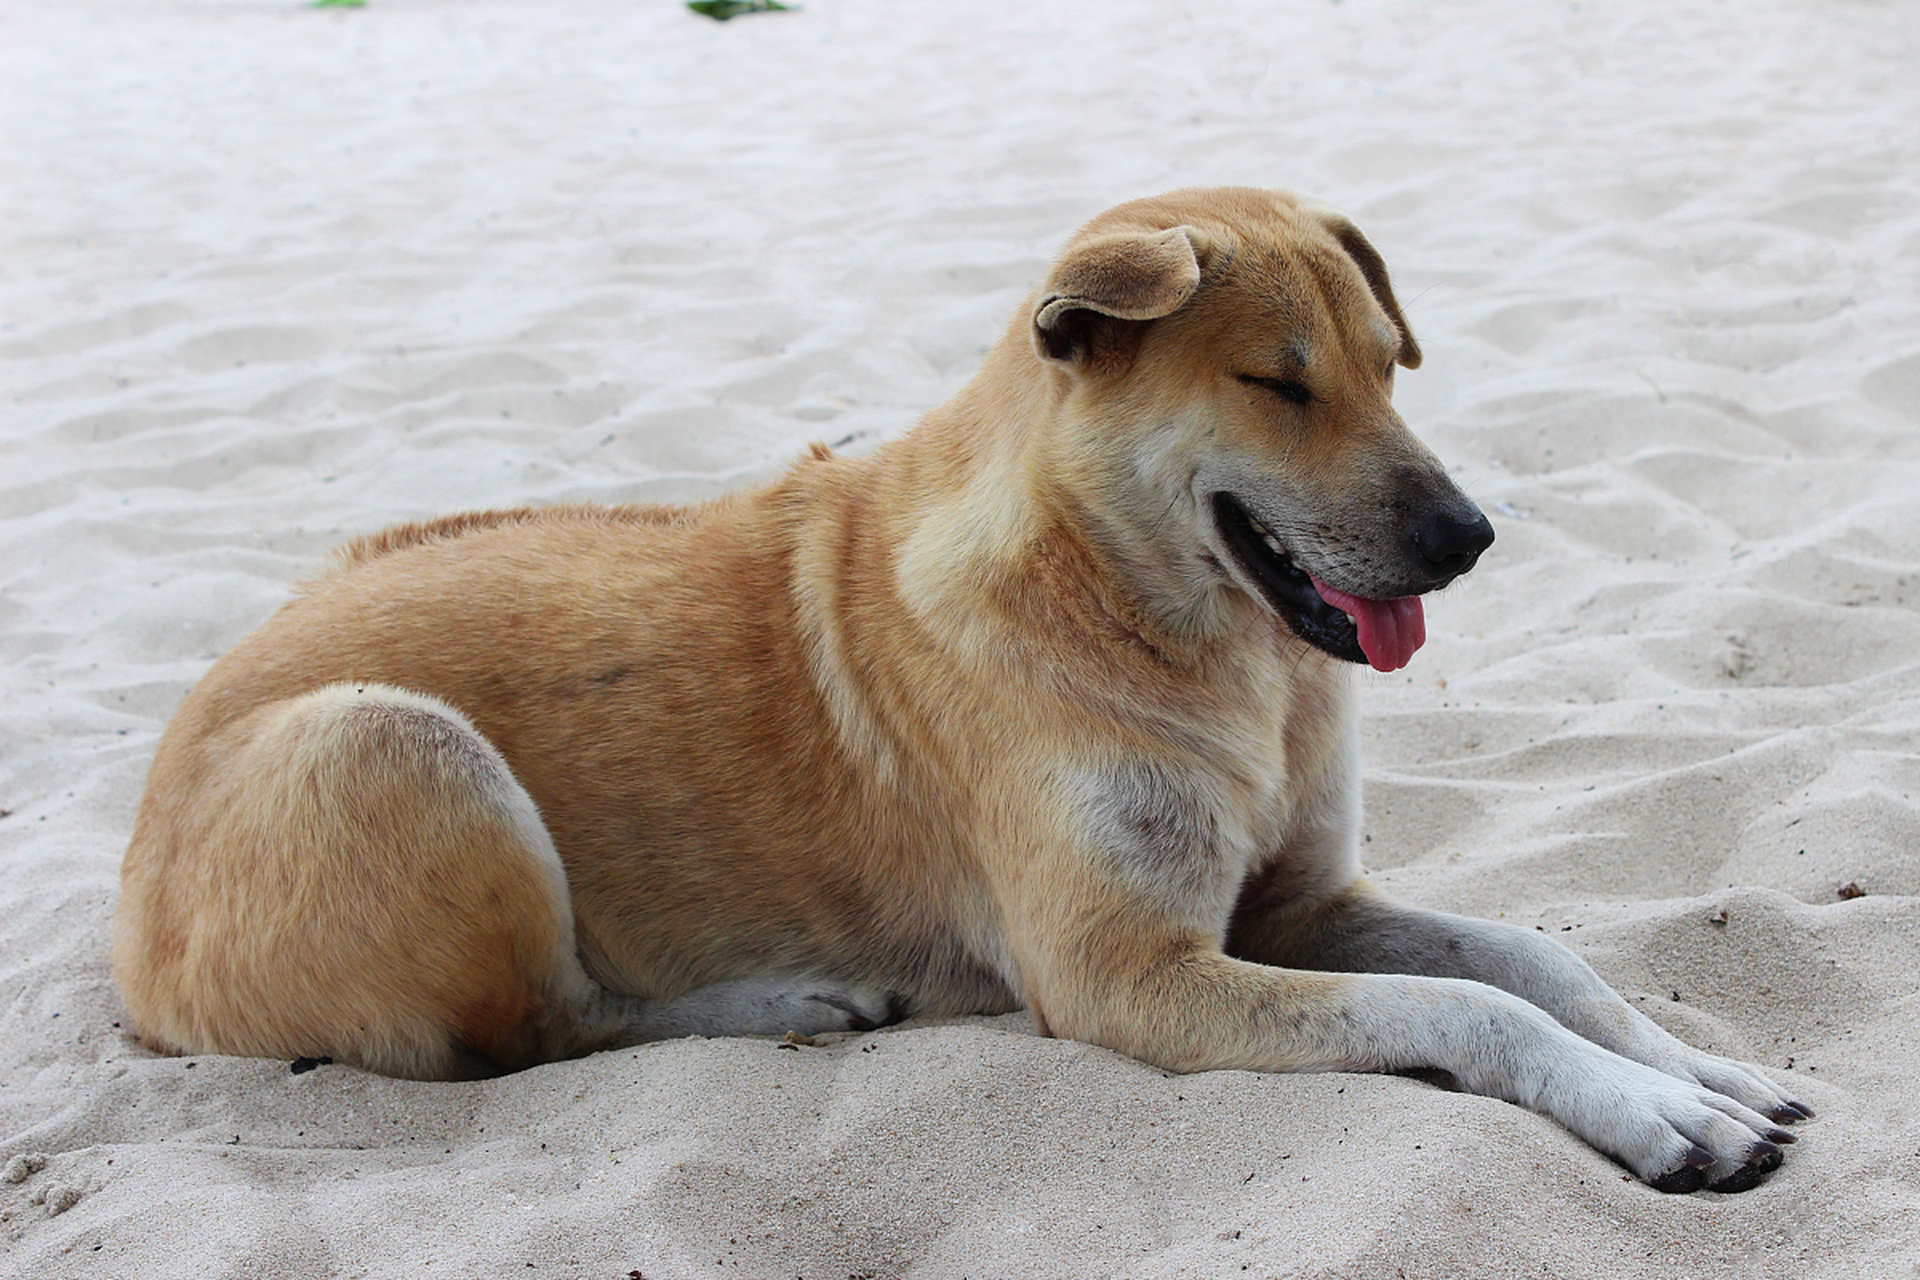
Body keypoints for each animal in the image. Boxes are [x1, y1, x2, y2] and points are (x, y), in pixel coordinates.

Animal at [116, 188, 1797, 1189]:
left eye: (1392, 366)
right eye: (1278, 382)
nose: (1471, 538)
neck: (1158, 617)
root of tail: (128, 919)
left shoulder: (1302, 903)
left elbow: (1537, 959)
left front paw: (1694, 1061)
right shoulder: (1134, 977)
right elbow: (1467, 1002)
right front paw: (1649, 1112)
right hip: (391, 744)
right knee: (535, 1027)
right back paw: (785, 998)